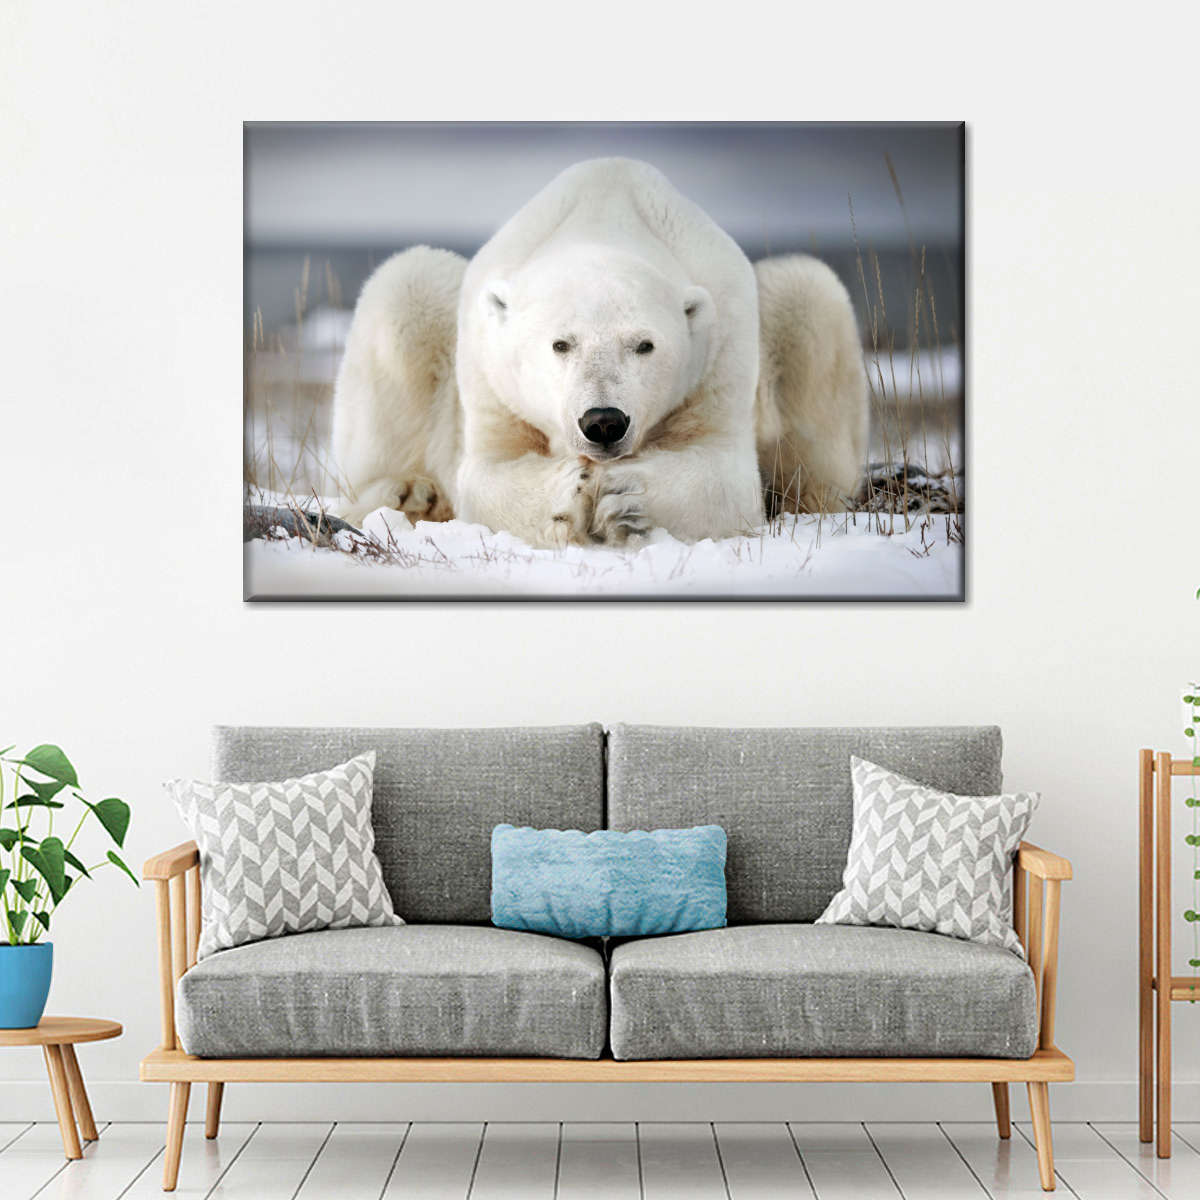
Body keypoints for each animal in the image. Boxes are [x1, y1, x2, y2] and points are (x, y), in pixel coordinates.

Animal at [332, 157, 868, 544]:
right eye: (560, 344)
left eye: (645, 345)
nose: (604, 421)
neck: (604, 215)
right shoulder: (490, 375)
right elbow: (487, 473)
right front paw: (569, 493)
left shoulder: (721, 348)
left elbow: (725, 474)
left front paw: (626, 497)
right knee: (406, 289)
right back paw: (409, 495)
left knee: (808, 297)